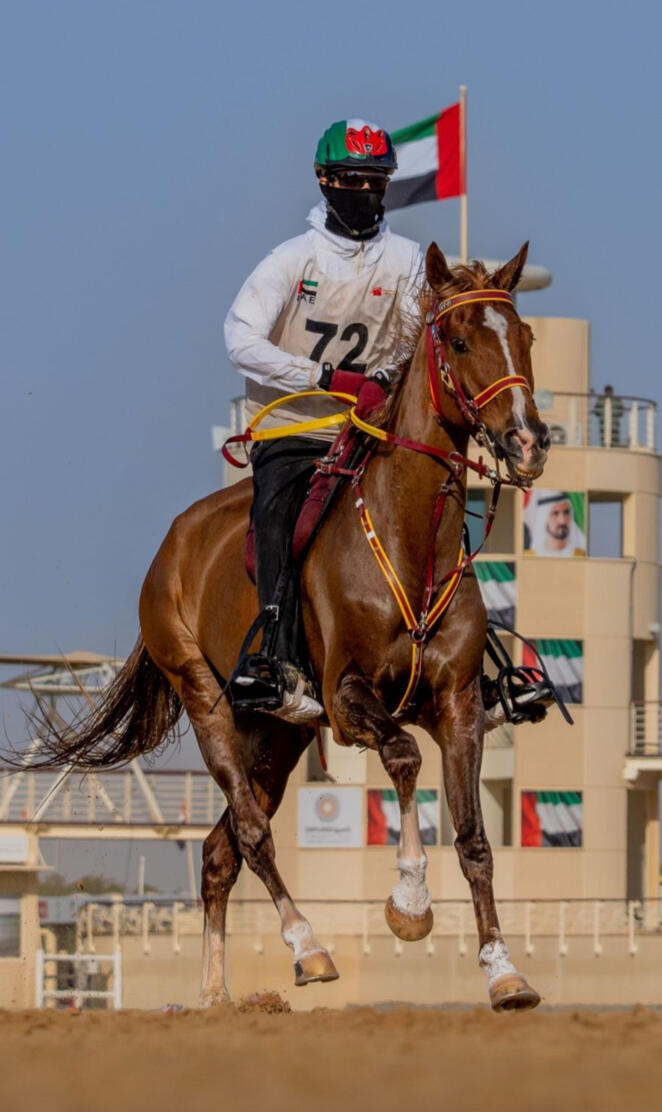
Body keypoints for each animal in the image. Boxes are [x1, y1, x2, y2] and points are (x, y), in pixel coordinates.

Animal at [32, 242, 550, 1011]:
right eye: (459, 341)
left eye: (526, 337)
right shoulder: (347, 697)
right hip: (211, 703)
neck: (409, 542)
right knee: (251, 835)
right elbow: (403, 758)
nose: (528, 440)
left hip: (276, 737)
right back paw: (308, 948)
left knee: (217, 854)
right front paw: (409, 904)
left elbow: (474, 836)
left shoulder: (457, 706)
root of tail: (174, 544)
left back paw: (217, 995)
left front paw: (503, 970)